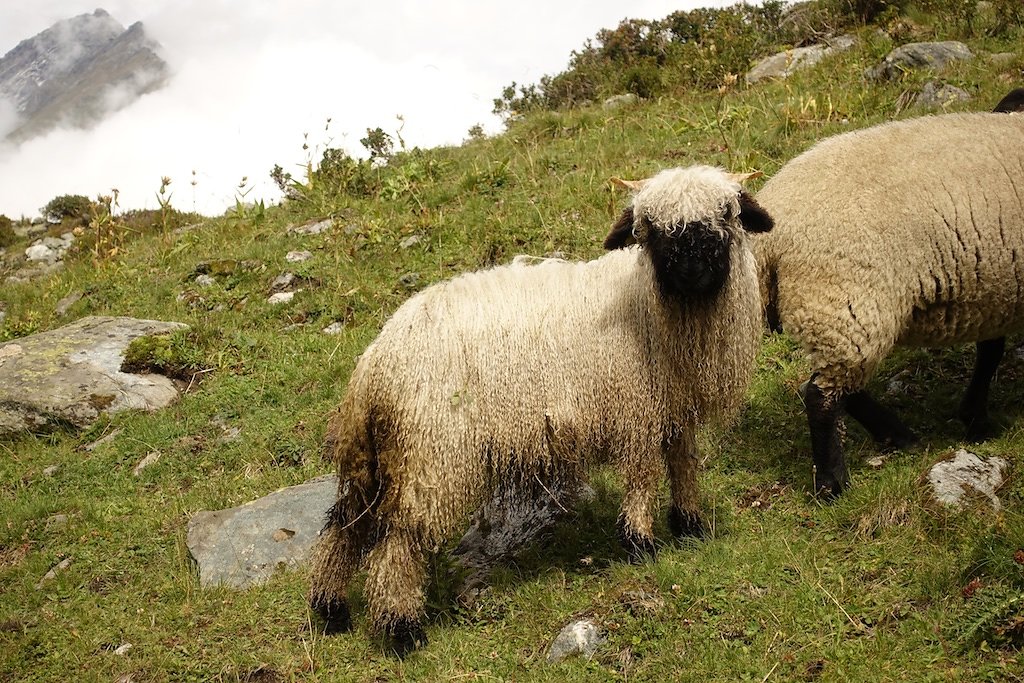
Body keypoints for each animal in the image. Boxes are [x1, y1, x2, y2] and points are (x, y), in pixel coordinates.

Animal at [307, 165, 770, 655]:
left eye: (726, 215)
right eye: (649, 229)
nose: (690, 270)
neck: (649, 304)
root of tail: (376, 360)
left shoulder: (674, 409)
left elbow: (683, 463)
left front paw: (689, 525)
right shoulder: (637, 412)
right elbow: (643, 477)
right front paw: (641, 542)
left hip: (381, 458)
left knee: (345, 525)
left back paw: (330, 608)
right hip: (433, 455)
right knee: (397, 544)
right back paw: (402, 630)